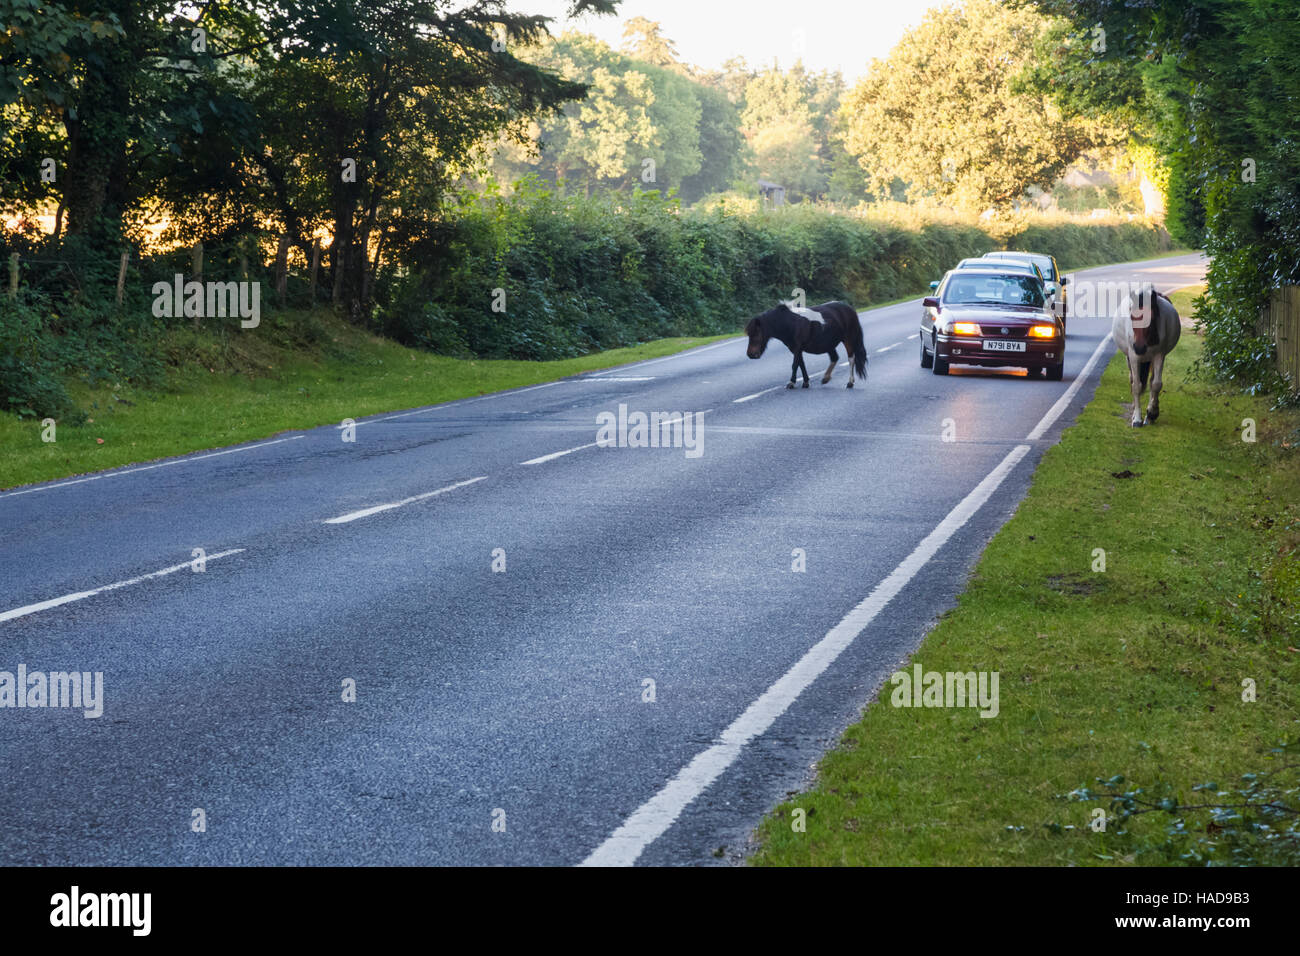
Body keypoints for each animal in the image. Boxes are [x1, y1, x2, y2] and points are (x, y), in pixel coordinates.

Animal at [1107, 282, 1180, 429]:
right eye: (1132, 317)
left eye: (1151, 318)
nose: (1139, 348)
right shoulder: (1134, 357)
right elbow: (1136, 386)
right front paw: (1137, 419)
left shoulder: (1159, 355)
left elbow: (1156, 384)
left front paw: (1152, 413)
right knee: (1133, 380)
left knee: (1151, 382)